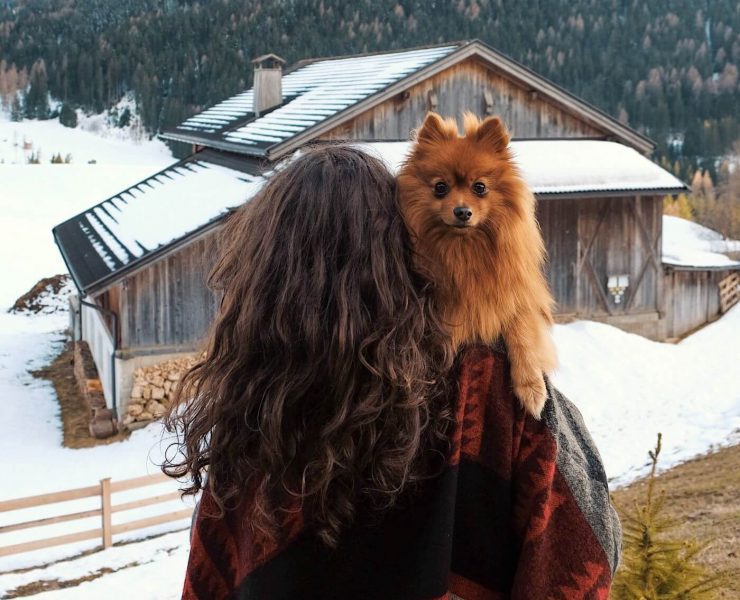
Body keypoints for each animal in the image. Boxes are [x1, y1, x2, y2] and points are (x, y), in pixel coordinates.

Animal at [396, 112, 556, 420]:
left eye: (479, 187)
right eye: (440, 187)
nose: (462, 211)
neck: (465, 250)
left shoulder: (518, 297)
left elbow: (523, 333)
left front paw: (531, 387)